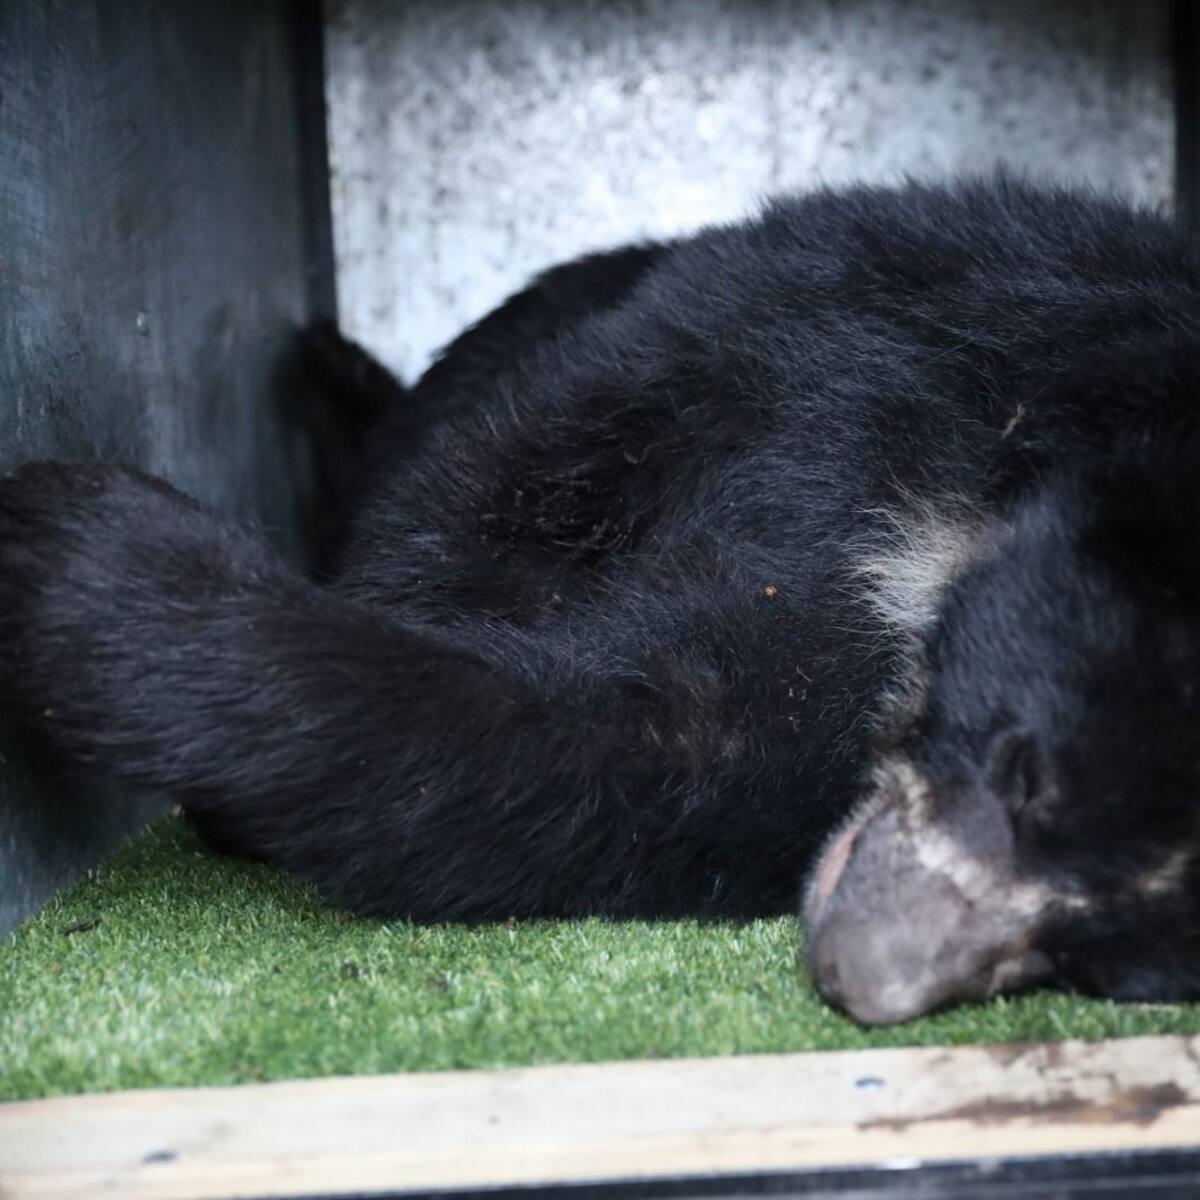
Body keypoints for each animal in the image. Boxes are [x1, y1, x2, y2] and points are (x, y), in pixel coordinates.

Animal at [2, 176, 1200, 1025]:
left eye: (1090, 966)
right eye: (1020, 764)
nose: (859, 967)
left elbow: (630, 751)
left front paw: (106, 580)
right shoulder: (953, 312)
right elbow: (574, 437)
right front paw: (76, 538)